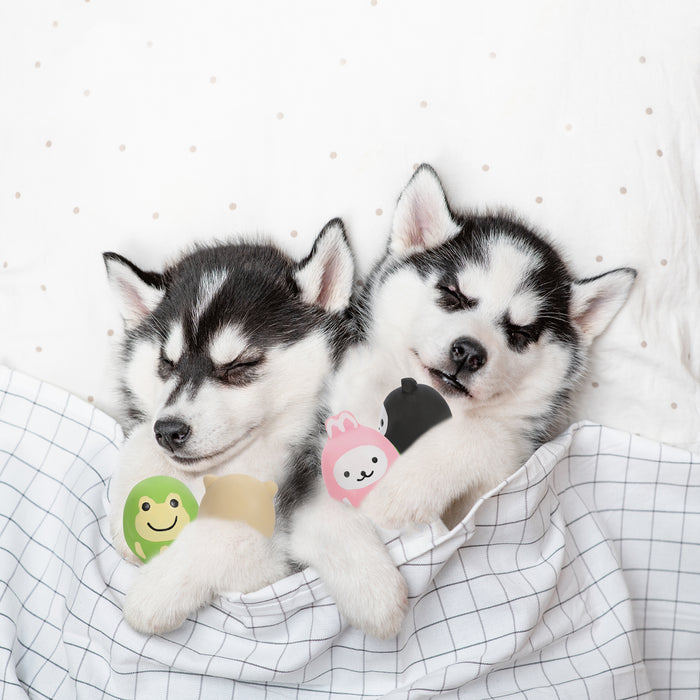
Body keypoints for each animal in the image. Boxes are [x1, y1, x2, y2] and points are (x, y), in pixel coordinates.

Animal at [106, 221, 408, 636]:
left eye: (239, 364)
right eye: (166, 364)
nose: (169, 431)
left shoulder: (272, 556)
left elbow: (226, 531)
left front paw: (156, 590)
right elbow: (137, 440)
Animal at [326, 168, 636, 532]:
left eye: (520, 332)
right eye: (453, 294)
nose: (468, 353)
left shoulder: (514, 467)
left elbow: (486, 435)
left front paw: (401, 488)